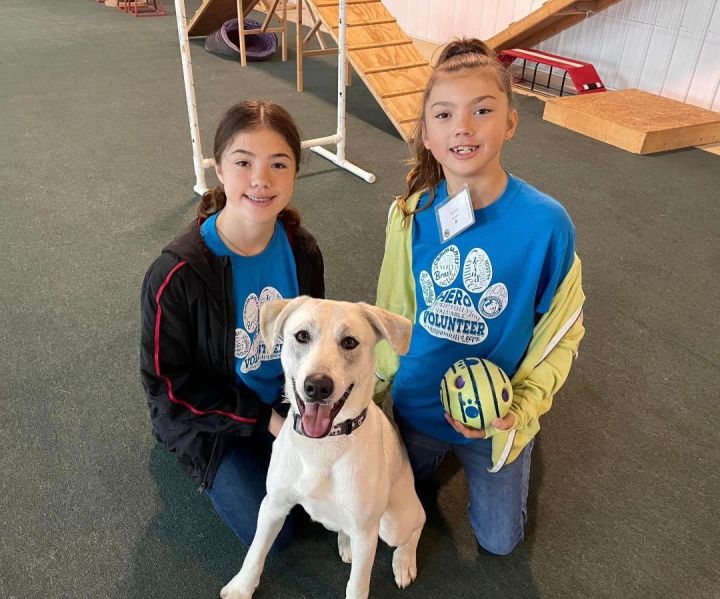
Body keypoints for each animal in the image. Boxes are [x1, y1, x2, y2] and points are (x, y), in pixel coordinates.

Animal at [222, 296, 424, 599]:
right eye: (302, 336)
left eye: (350, 342)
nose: (317, 386)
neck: (322, 446)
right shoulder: (273, 505)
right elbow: (255, 552)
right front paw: (241, 588)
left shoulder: (366, 534)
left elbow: (357, 586)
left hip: (392, 523)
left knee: (418, 522)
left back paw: (404, 562)